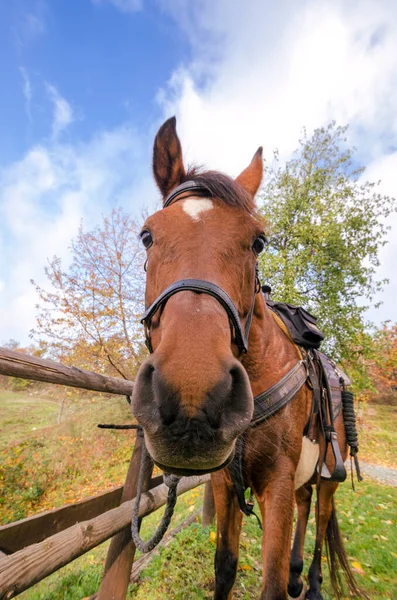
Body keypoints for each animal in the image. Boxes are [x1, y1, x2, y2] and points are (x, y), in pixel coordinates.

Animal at [131, 115, 360, 596]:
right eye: (147, 236)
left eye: (258, 242)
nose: (192, 399)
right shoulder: (223, 481)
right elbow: (225, 566)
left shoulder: (276, 484)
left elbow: (269, 584)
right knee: (307, 504)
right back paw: (297, 573)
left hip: (330, 471)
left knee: (323, 515)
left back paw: (312, 581)